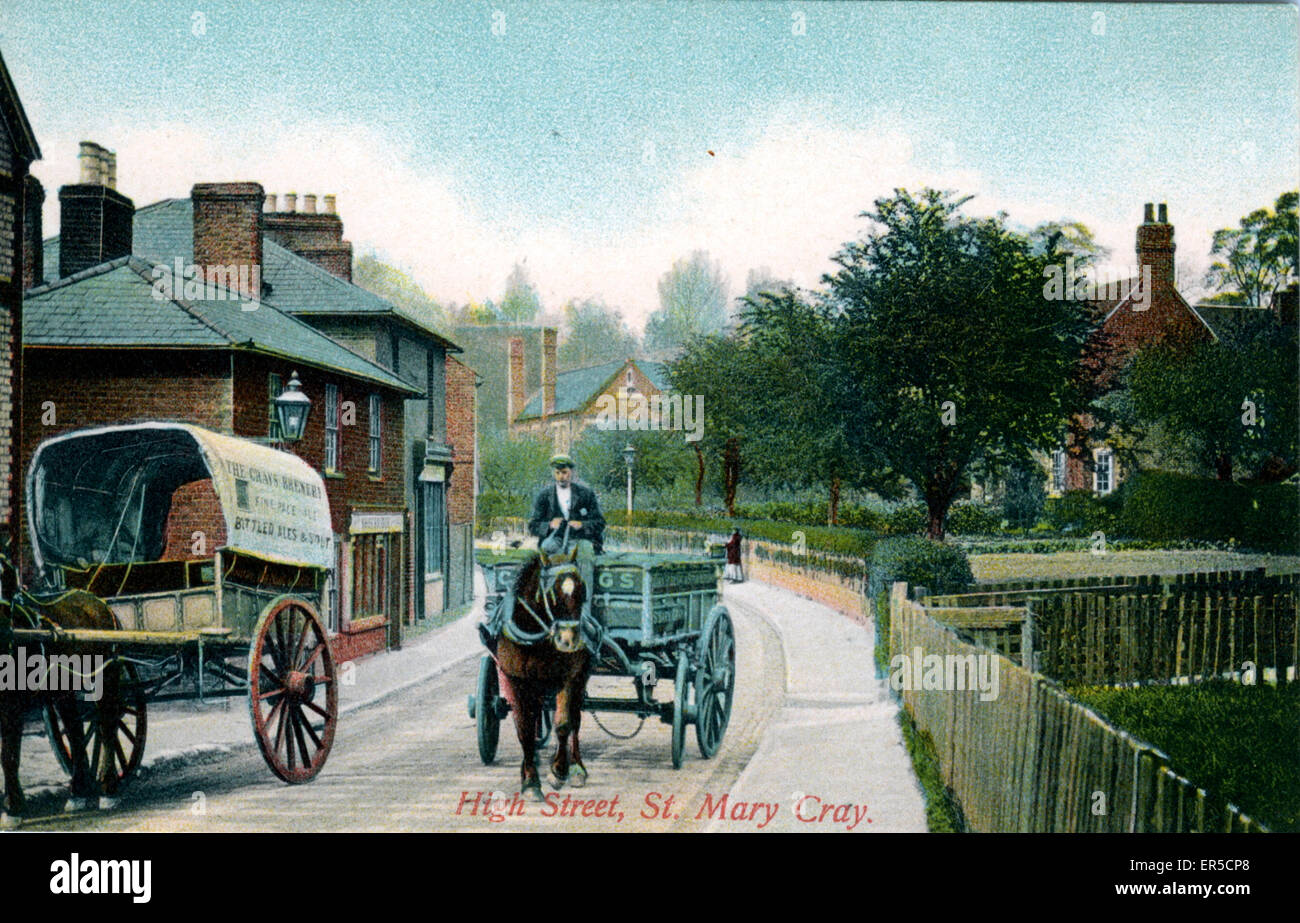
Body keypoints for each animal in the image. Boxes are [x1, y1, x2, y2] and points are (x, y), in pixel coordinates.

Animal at [0, 553, 126, 826]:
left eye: (5, 575)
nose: (4, 632)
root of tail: (99, 603)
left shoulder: (12, 706)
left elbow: (9, 755)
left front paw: (13, 809)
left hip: (106, 679)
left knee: (107, 727)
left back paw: (108, 788)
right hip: (64, 691)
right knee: (76, 731)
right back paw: (78, 792)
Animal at [496, 548, 595, 800]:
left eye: (582, 590)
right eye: (552, 593)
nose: (569, 641)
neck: (533, 638)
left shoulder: (567, 677)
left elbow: (563, 723)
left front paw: (558, 771)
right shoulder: (517, 681)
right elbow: (525, 729)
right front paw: (530, 781)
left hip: (580, 676)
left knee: (575, 719)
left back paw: (576, 768)